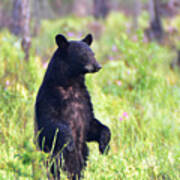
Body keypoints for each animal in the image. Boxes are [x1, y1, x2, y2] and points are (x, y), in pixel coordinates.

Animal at [34, 34, 110, 180]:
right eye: (83, 54)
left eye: (93, 53)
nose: (98, 66)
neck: (70, 84)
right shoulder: (48, 98)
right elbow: (50, 122)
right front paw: (69, 142)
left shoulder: (85, 101)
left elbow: (91, 125)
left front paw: (104, 144)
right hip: (51, 156)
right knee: (55, 165)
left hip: (83, 155)